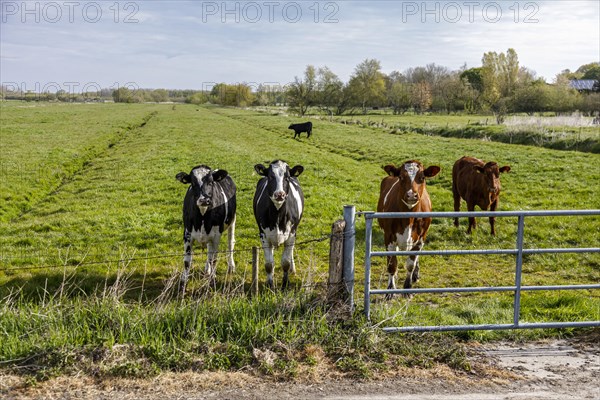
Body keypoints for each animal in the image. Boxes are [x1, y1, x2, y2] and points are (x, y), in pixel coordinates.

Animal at [175, 164, 236, 292]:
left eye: (211, 182)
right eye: (192, 183)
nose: (204, 200)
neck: (202, 216)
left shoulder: (217, 235)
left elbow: (214, 259)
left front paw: (212, 280)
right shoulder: (187, 233)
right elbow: (187, 261)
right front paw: (183, 283)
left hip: (232, 221)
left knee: (229, 244)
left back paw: (231, 266)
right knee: (209, 250)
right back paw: (207, 270)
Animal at [252, 159, 304, 288]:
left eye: (287, 177)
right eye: (271, 176)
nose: (279, 194)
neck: (278, 215)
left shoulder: (291, 234)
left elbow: (285, 262)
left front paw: (285, 284)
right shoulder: (263, 235)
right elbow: (269, 264)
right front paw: (270, 285)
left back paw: (292, 269)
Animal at [380, 160, 440, 296]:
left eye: (422, 177)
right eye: (401, 177)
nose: (411, 195)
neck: (409, 218)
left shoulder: (421, 238)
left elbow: (411, 264)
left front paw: (408, 286)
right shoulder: (388, 236)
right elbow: (392, 264)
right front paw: (390, 289)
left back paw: (415, 275)